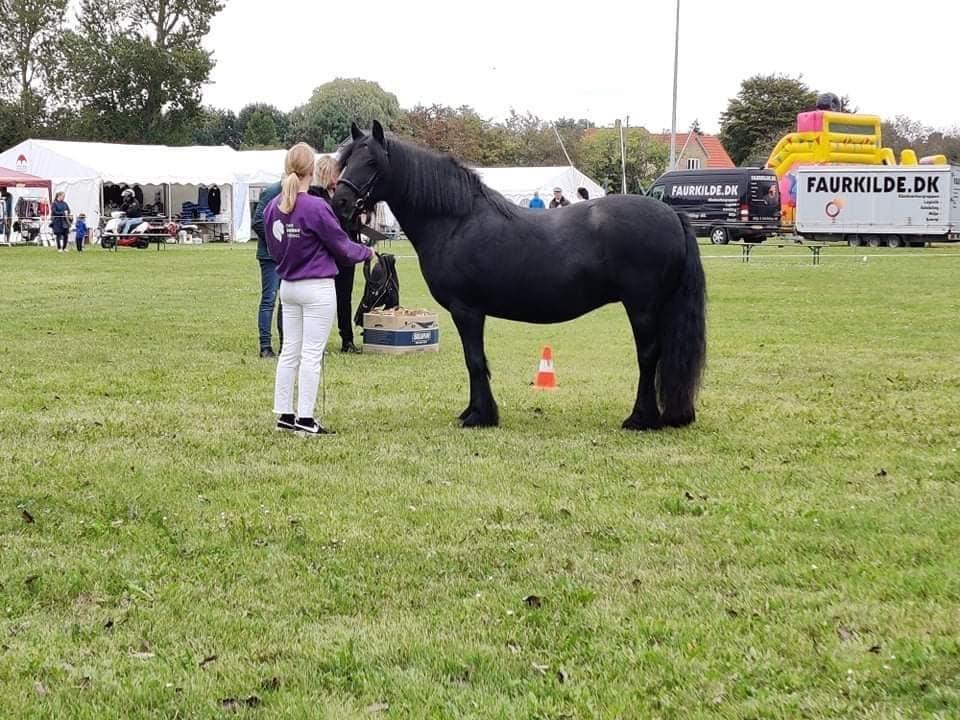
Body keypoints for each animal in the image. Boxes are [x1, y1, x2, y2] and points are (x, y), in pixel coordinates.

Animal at [332, 121, 707, 431]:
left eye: (372, 162)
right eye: (347, 160)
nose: (341, 202)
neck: (456, 220)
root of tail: (673, 215)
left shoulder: (466, 310)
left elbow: (474, 360)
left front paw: (480, 416)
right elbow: (476, 361)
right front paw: (473, 411)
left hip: (641, 308)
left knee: (649, 356)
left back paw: (640, 419)